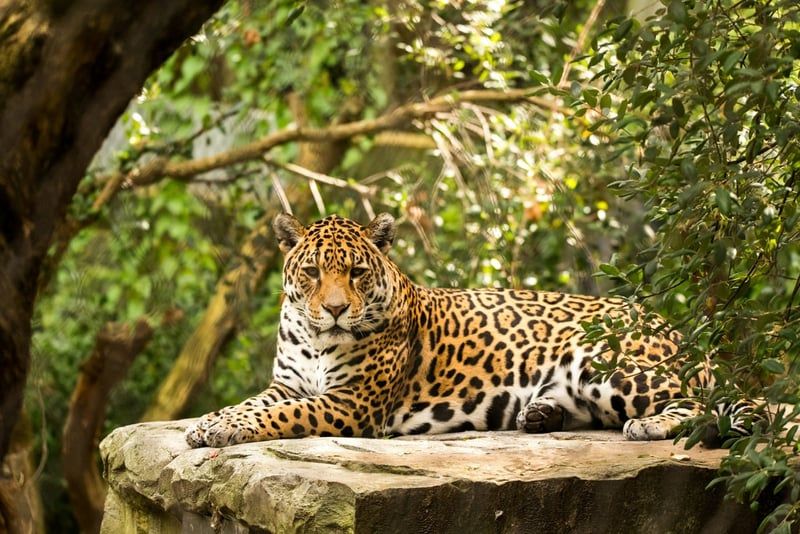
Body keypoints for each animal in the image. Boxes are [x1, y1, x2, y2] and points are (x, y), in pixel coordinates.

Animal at [186, 213, 754, 448]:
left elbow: (281, 416)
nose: (335, 310)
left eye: (357, 273)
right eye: (311, 273)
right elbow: (256, 403)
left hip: (605, 362)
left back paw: (649, 426)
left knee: (713, 403)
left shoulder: (351, 404)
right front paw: (210, 421)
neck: (316, 338)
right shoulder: (288, 383)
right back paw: (539, 414)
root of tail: (672, 326)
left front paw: (222, 429)